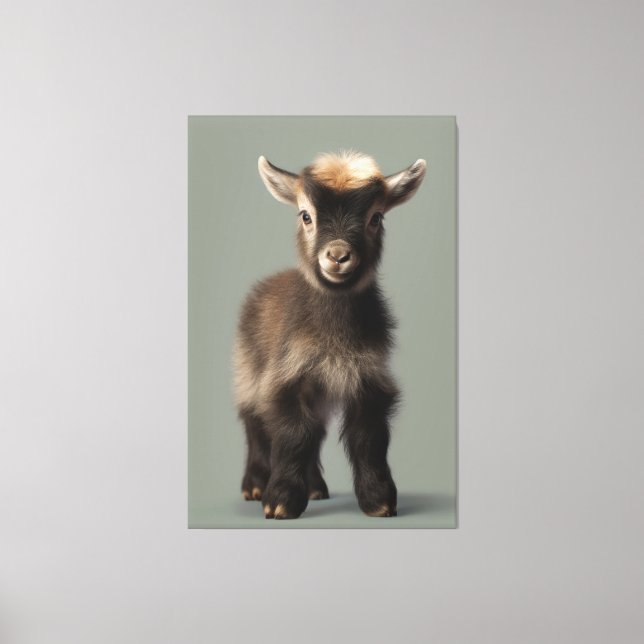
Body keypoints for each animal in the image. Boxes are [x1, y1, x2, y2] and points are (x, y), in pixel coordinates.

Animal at [233, 151, 427, 519]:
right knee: (254, 424)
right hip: (247, 371)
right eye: (306, 215)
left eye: (376, 217)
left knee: (317, 430)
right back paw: (254, 486)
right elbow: (293, 433)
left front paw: (379, 500)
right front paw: (279, 501)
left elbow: (369, 438)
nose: (337, 256)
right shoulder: (285, 378)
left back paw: (315, 488)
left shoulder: (368, 378)